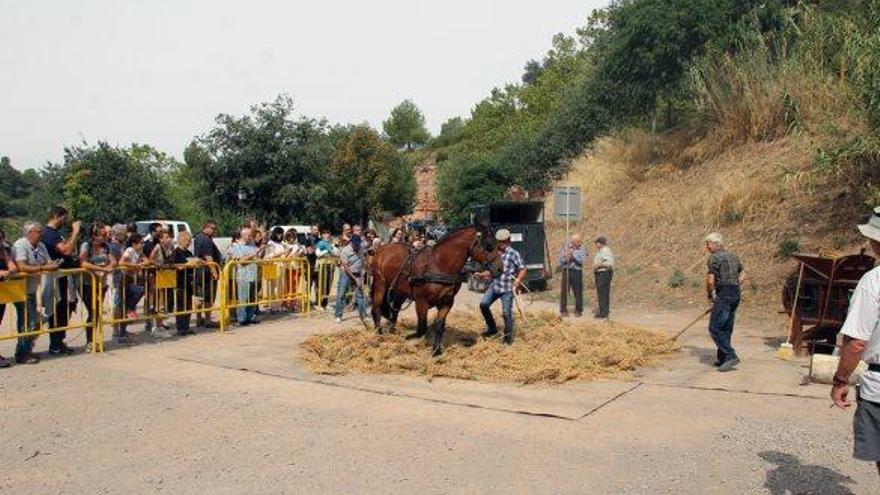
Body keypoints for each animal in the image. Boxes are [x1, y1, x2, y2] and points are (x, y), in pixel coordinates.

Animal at [368, 225, 498, 356]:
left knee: (395, 308)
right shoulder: (421, 302)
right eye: (488, 246)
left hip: (400, 290)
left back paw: (392, 329)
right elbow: (421, 328)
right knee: (376, 308)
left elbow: (440, 325)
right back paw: (378, 333)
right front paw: (411, 338)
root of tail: (381, 249)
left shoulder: (447, 302)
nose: (499, 267)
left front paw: (436, 350)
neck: (439, 265)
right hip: (380, 284)